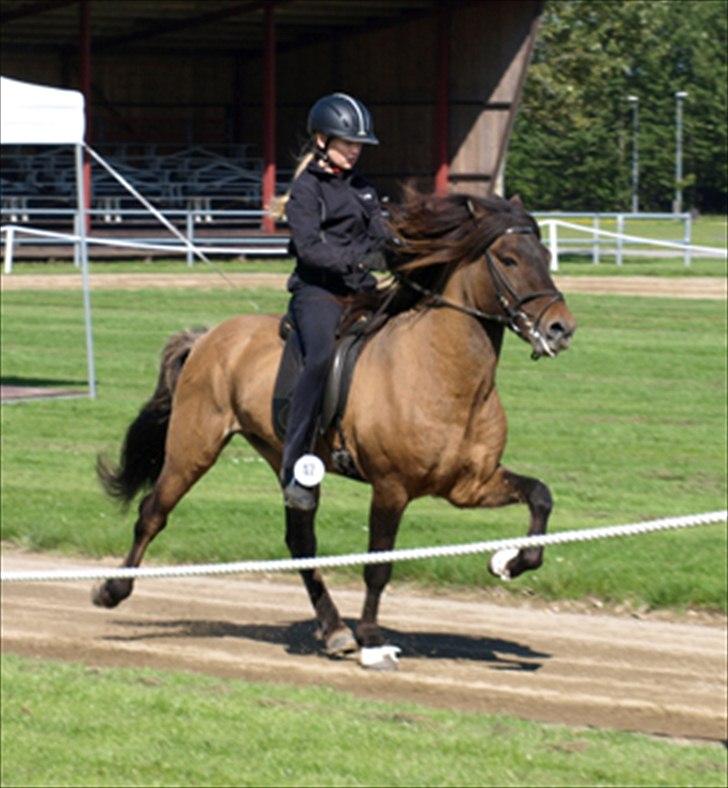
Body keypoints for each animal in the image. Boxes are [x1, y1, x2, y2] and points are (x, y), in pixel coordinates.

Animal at [94, 192, 576, 664]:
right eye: (509, 259)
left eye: (546, 255)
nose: (561, 328)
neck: (442, 373)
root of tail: (208, 337)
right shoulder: (391, 488)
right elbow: (378, 564)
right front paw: (373, 637)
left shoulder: (469, 485)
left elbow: (540, 497)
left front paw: (509, 562)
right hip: (193, 449)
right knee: (153, 513)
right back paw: (112, 589)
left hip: (288, 462)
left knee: (299, 542)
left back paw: (333, 630)